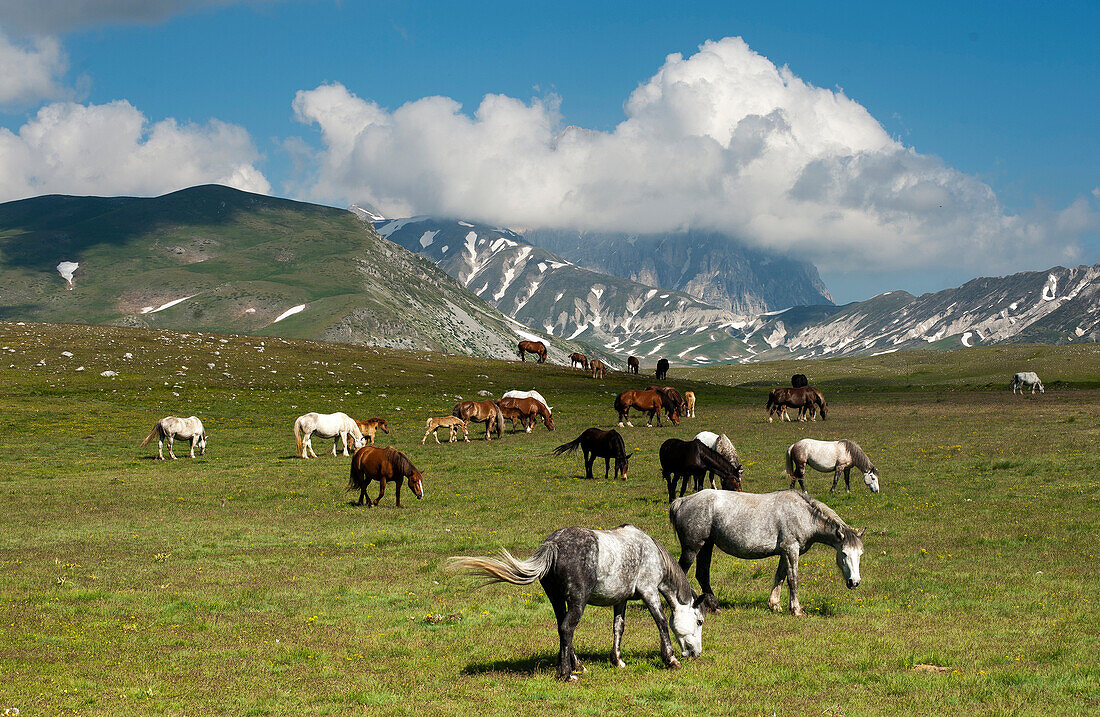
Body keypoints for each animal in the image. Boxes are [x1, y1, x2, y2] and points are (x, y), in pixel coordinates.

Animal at [446, 523, 712, 681]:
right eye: (699, 621)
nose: (696, 653)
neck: (650, 551)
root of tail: (553, 544)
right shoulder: (649, 592)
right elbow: (661, 622)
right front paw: (670, 659)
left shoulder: (621, 600)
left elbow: (618, 628)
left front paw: (617, 660)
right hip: (578, 601)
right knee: (567, 628)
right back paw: (566, 674)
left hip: (557, 600)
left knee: (562, 629)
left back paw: (577, 666)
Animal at [668, 492, 866, 615]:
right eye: (844, 553)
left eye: (860, 554)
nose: (855, 582)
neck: (803, 515)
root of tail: (683, 501)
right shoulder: (791, 550)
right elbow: (793, 579)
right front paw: (796, 610)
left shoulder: (785, 552)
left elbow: (780, 577)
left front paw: (775, 605)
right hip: (692, 548)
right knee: (682, 571)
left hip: (706, 546)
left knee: (702, 575)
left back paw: (715, 607)